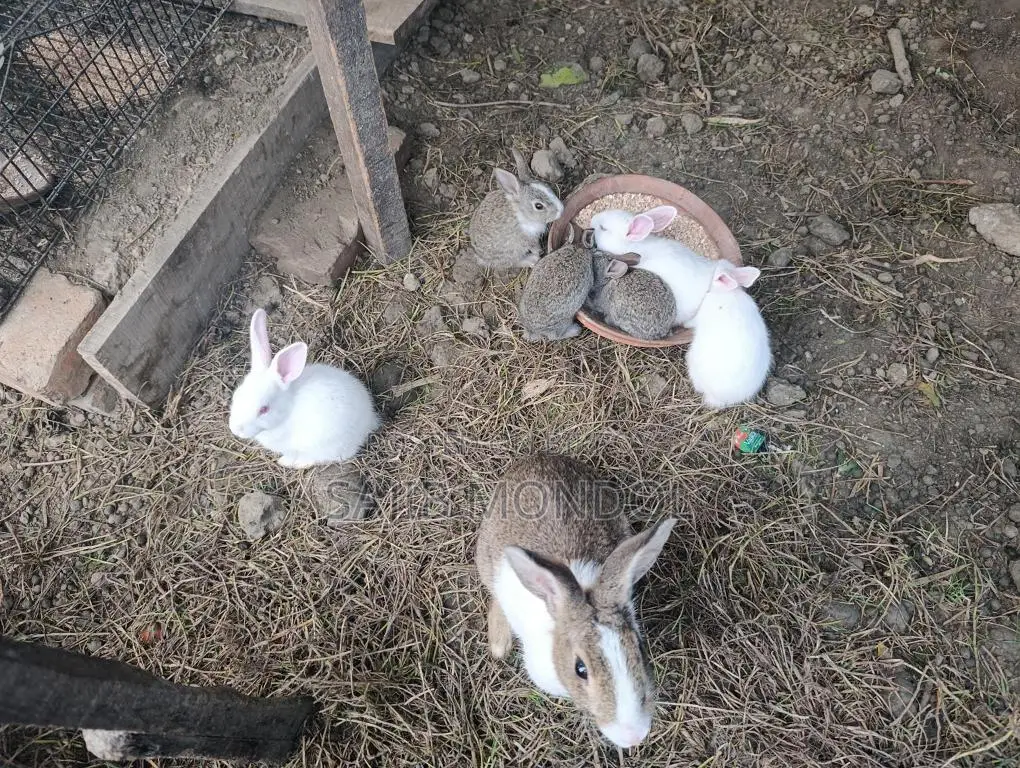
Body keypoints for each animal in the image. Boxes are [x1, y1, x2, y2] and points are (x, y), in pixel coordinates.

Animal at [228, 309, 380, 468]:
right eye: (236, 396)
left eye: (264, 409)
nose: (236, 430)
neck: (287, 412)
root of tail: (369, 419)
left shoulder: (291, 448)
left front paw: (284, 461)